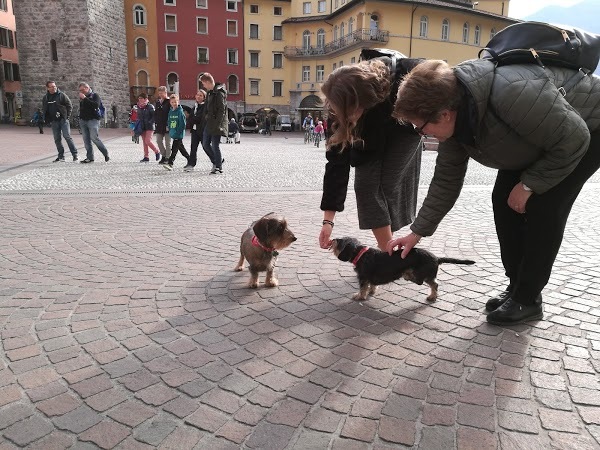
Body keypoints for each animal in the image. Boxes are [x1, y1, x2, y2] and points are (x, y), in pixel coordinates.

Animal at [330, 236, 476, 302]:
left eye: (340, 241)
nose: (333, 239)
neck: (361, 254)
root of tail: (437, 258)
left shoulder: (363, 277)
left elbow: (362, 288)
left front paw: (359, 296)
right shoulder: (369, 278)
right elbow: (372, 285)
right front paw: (372, 291)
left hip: (420, 274)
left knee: (432, 284)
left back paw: (430, 295)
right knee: (434, 283)